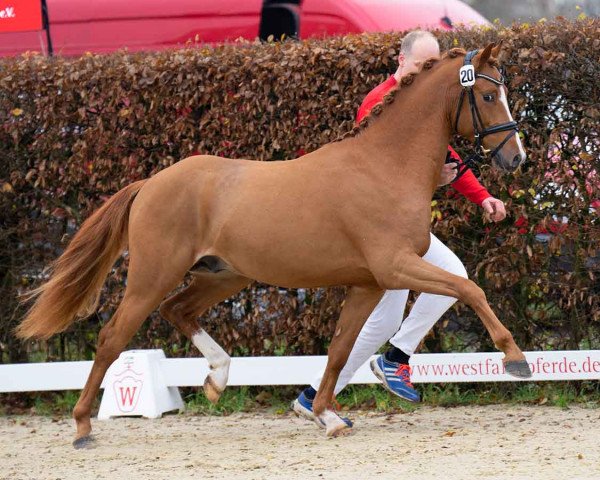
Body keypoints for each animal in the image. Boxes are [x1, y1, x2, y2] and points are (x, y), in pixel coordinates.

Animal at [18, 43, 532, 448]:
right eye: (489, 95)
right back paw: (83, 427)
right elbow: (470, 290)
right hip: (152, 275)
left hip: (224, 274)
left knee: (177, 310)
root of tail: (150, 183)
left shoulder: (368, 283)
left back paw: (217, 378)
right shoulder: (394, 267)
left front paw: (326, 415)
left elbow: (341, 348)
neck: (384, 165)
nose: (516, 157)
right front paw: (516, 360)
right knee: (112, 338)